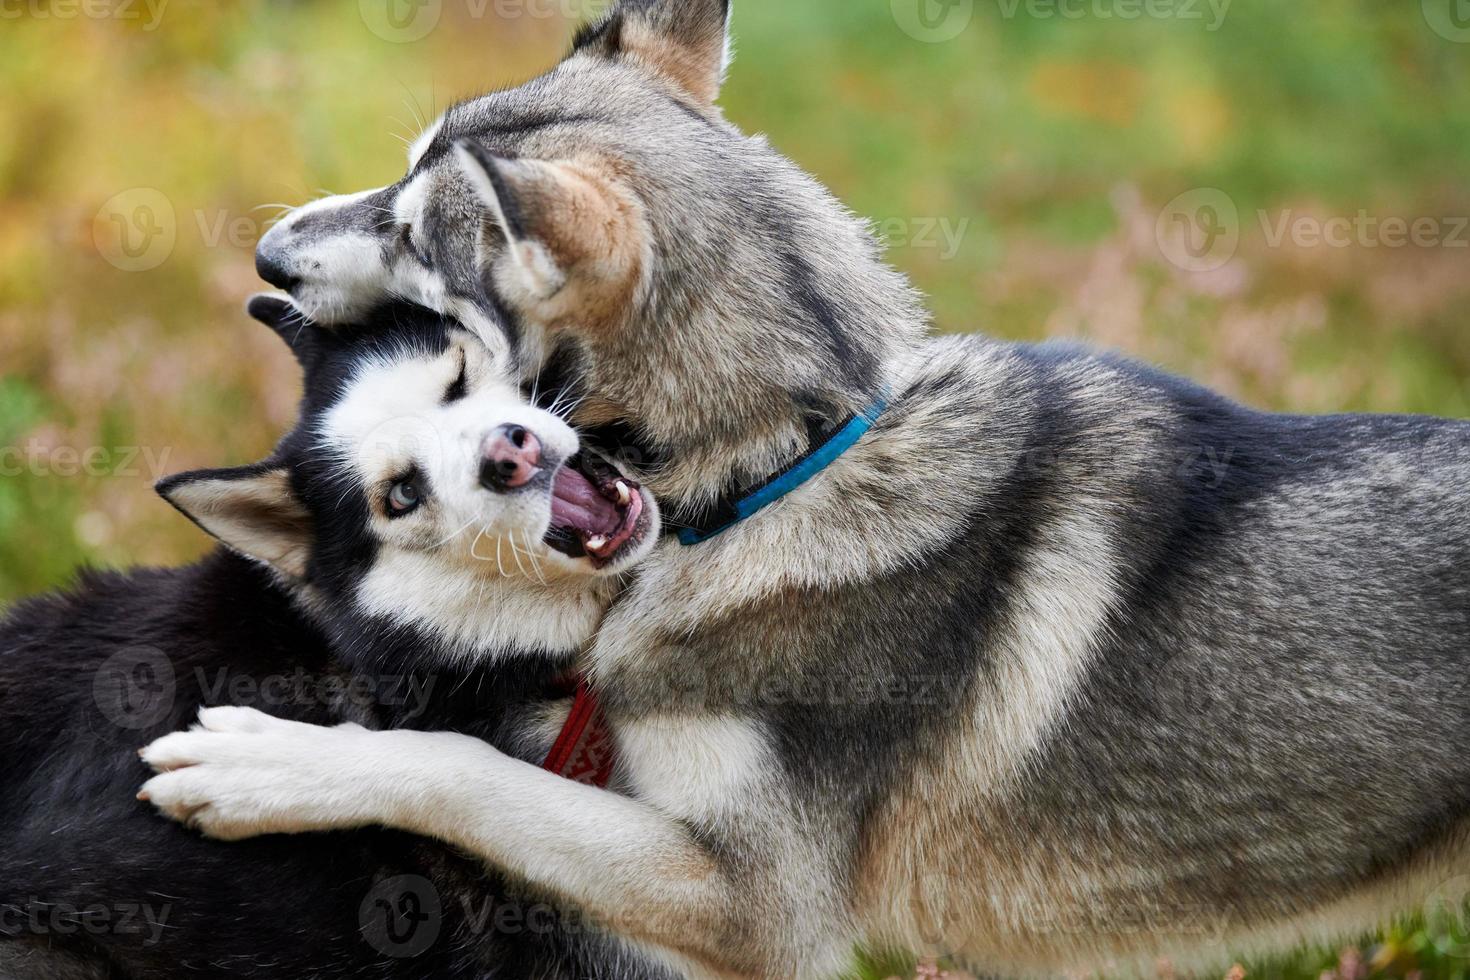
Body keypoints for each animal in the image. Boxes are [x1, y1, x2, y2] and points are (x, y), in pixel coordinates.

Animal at [138, 3, 1470, 975]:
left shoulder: (756, 905)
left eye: (416, 231)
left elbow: (460, 768)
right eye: (396, 175)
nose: (264, 254)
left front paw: (271, 766)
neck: (777, 474)